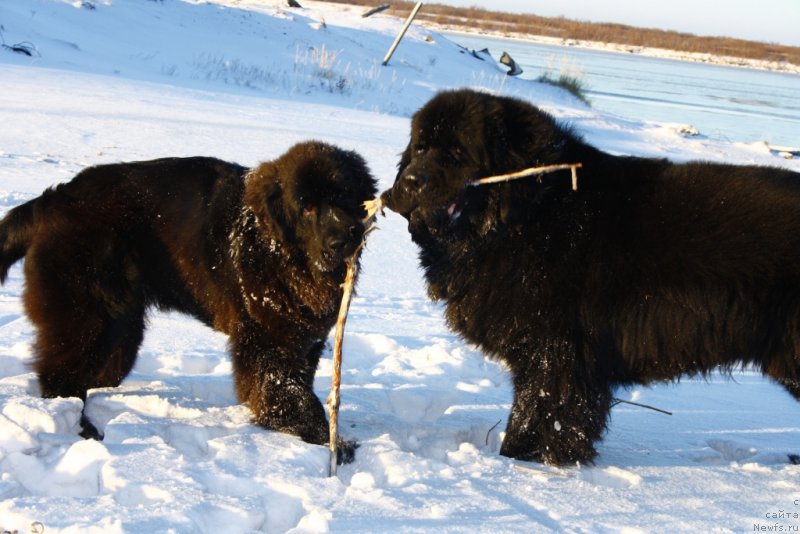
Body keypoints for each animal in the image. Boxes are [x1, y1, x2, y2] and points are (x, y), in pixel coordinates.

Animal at [0, 139, 376, 460]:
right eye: (307, 207)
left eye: (346, 198)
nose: (343, 240)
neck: (284, 255)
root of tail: (54, 200)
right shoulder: (268, 340)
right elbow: (289, 393)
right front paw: (326, 439)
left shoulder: (305, 336)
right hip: (89, 314)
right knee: (59, 376)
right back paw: (80, 428)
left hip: (121, 325)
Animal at [382, 90, 800, 466]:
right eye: (420, 147)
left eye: (456, 153)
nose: (410, 182)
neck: (528, 213)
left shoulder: (554, 352)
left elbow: (539, 413)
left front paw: (521, 462)